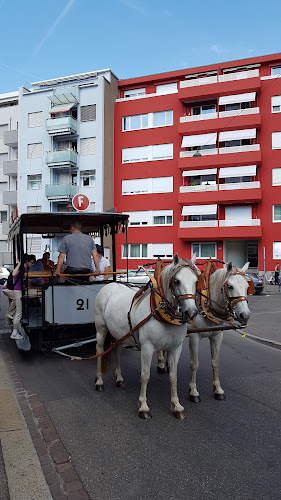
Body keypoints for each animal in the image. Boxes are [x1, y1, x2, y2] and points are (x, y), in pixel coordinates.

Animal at [93, 254, 197, 418]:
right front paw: (143, 406)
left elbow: (173, 376)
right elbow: (145, 375)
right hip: (101, 329)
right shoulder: (147, 348)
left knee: (117, 351)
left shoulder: (176, 348)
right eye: (177, 281)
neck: (162, 313)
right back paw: (99, 382)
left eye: (196, 281)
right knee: (99, 350)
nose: (191, 312)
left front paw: (177, 406)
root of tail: (110, 285)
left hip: (120, 333)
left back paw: (119, 378)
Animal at [156, 262, 250, 402]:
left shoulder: (217, 336)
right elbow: (194, 364)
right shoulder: (194, 336)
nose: (245, 315)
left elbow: (215, 362)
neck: (207, 304)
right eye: (230, 286)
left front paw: (218, 390)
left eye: (247, 286)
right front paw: (193, 392)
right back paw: (161, 364)